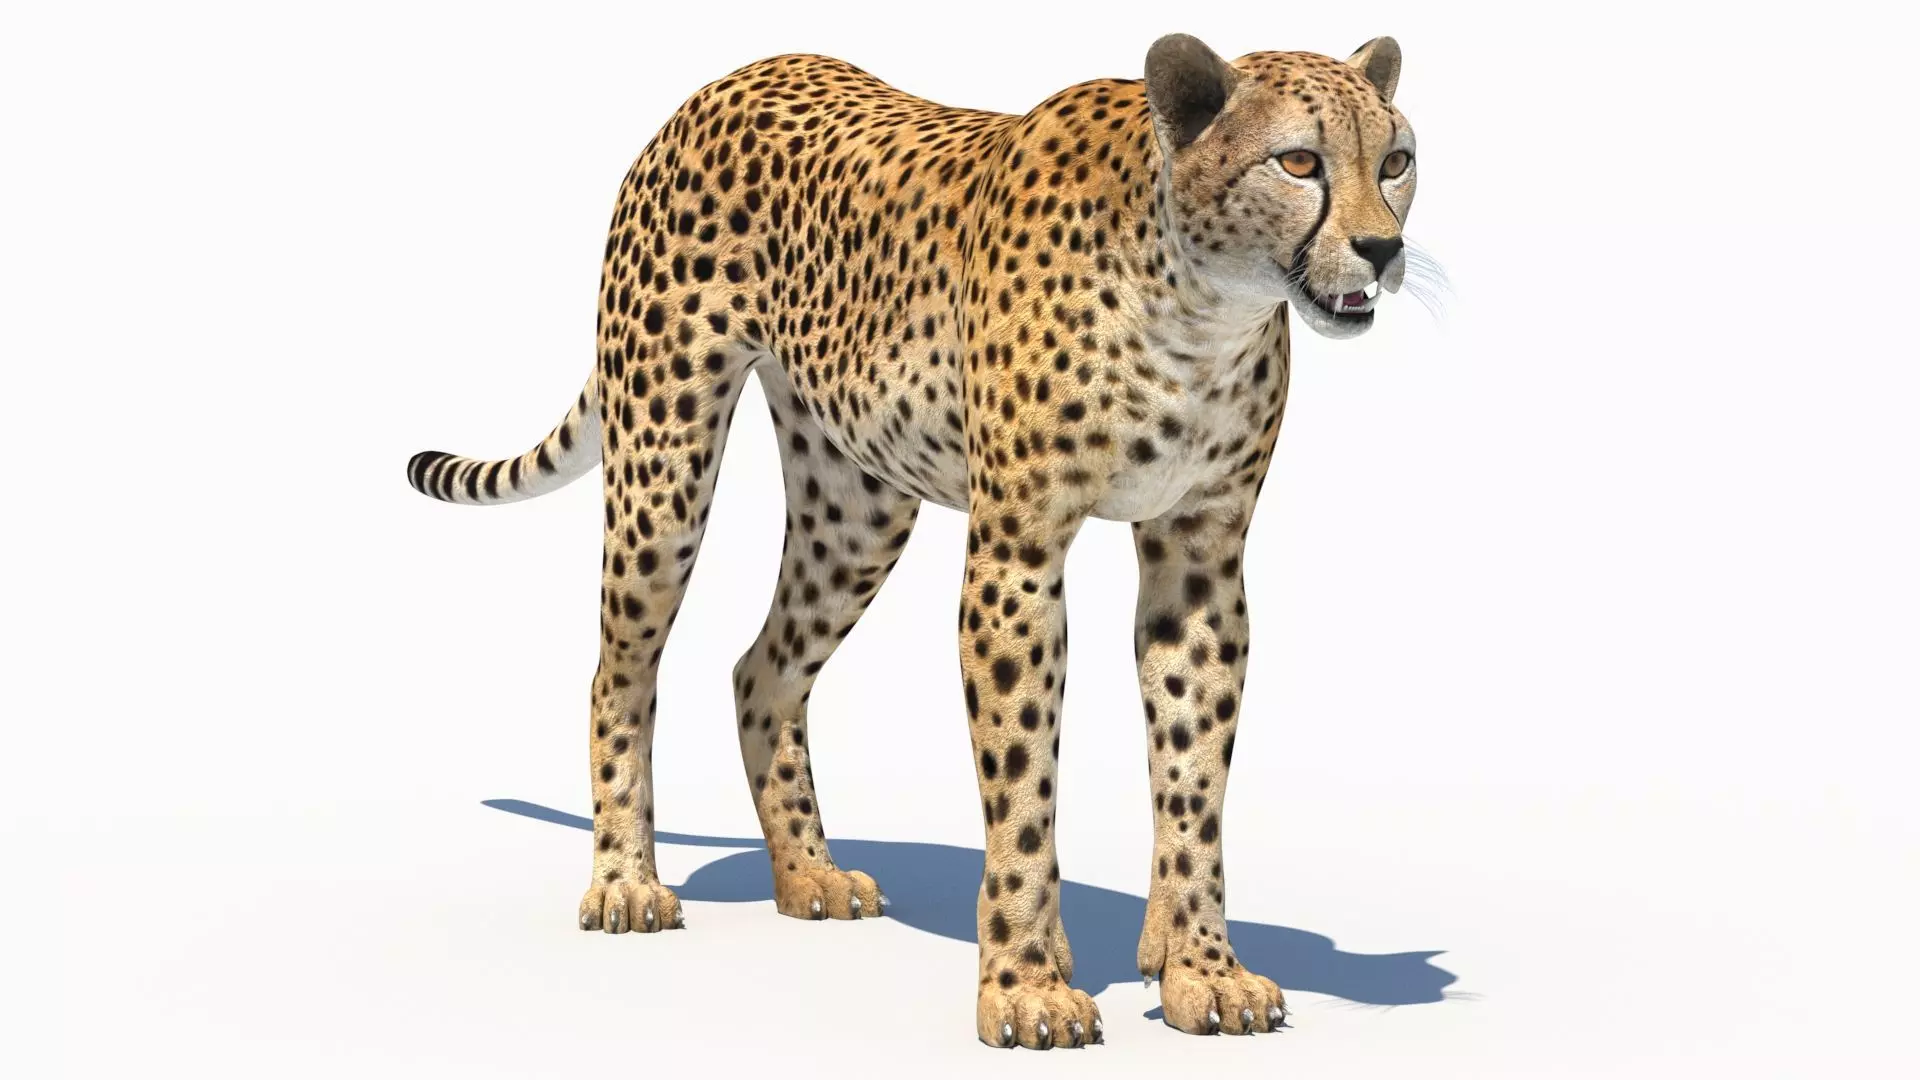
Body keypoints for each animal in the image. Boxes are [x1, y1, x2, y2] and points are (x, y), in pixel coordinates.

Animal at [406, 32, 1420, 1049]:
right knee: (619, 671)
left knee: (760, 669)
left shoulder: (1201, 561)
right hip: (665, 463)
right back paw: (624, 883)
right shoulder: (1016, 556)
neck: (1200, 309)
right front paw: (1027, 986)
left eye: (1396, 162)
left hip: (857, 505)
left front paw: (1201, 970)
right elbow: (1022, 787)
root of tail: (735, 76)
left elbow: (1193, 775)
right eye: (1300, 163)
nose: (1384, 247)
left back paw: (809, 874)